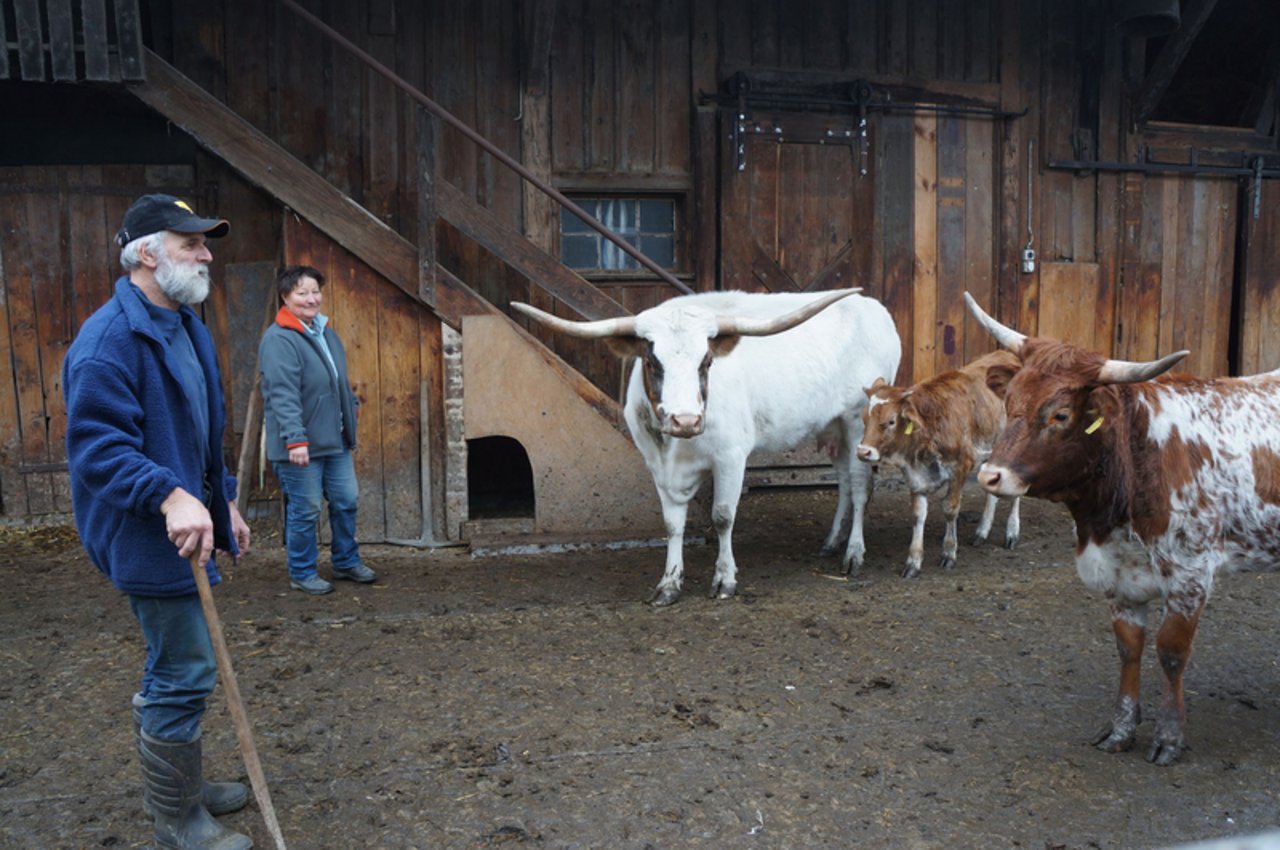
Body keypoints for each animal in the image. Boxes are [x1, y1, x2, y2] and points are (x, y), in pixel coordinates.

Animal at [509, 289, 901, 606]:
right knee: (845, 483)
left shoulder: (731, 458)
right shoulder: (657, 466)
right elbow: (672, 524)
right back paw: (832, 542)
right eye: (651, 362)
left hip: (858, 423)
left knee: (861, 487)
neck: (676, 447)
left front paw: (725, 579)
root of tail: (872, 307)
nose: (685, 420)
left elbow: (723, 517)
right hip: (834, 427)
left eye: (707, 361)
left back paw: (853, 554)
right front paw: (669, 584)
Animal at [855, 350, 1024, 578]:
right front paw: (914, 562)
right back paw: (982, 531)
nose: (863, 452)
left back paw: (1012, 532)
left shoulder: (961, 466)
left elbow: (950, 509)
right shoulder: (915, 477)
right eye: (865, 419)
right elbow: (918, 514)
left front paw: (949, 553)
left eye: (891, 421)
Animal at [962, 289, 1280, 768]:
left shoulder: (1190, 574)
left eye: (1059, 415)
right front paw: (1122, 728)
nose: (990, 476)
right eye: (1010, 399)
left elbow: (1171, 652)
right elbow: (1129, 648)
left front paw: (1169, 736)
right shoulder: (1118, 577)